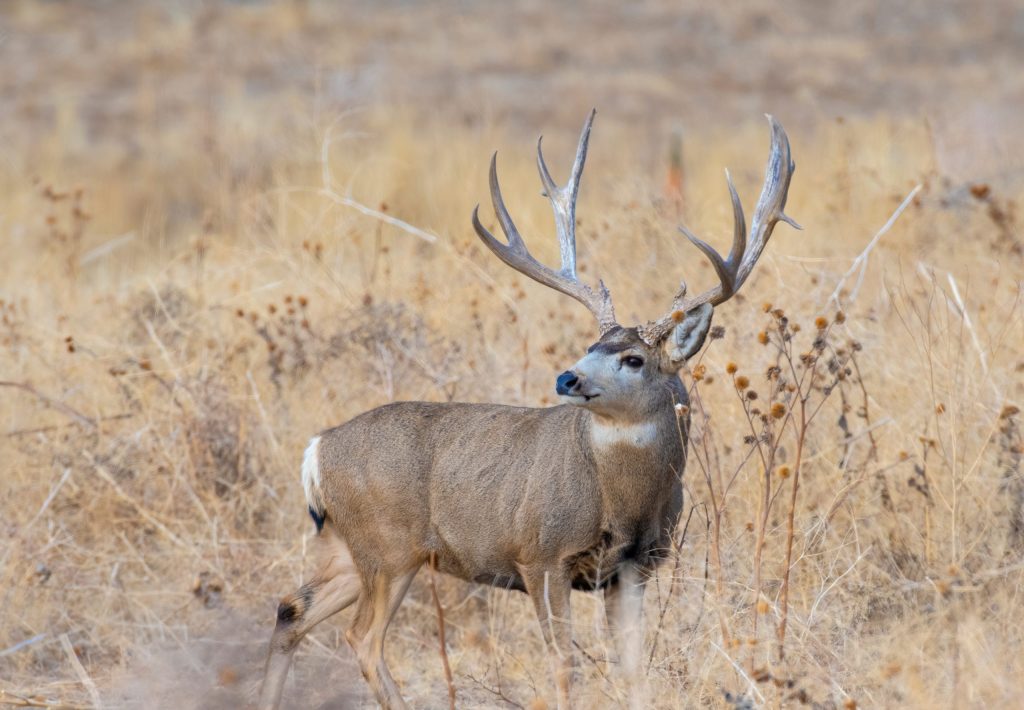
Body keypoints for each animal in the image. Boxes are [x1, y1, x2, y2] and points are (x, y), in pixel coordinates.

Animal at [258, 111, 796, 710]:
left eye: (633, 358)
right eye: (590, 345)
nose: (568, 377)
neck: (622, 499)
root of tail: (318, 448)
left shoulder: (634, 568)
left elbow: (633, 669)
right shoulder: (540, 555)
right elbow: (564, 665)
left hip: (347, 546)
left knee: (291, 609)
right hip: (389, 546)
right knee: (363, 638)